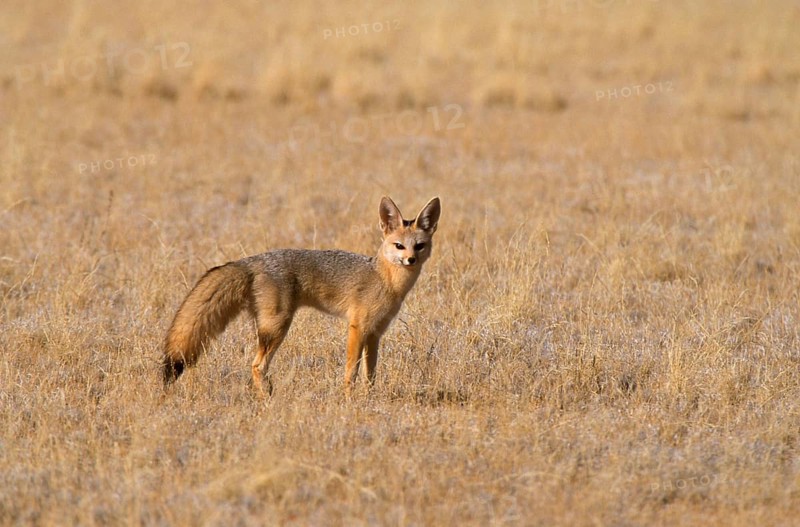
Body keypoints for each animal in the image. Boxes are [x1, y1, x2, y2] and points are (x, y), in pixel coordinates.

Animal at [162, 196, 441, 394]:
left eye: (419, 245)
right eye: (399, 246)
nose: (411, 260)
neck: (386, 281)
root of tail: (252, 261)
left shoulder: (375, 333)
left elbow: (370, 374)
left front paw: (368, 399)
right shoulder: (357, 328)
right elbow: (351, 371)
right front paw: (349, 400)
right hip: (277, 327)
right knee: (256, 365)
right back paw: (268, 399)